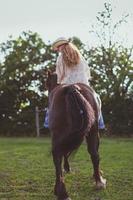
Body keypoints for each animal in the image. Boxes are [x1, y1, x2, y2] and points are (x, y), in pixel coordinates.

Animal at [45, 71, 106, 199]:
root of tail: (72, 88)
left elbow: (65, 153)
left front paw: (67, 168)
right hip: (92, 130)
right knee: (94, 154)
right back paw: (98, 181)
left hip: (59, 135)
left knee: (57, 157)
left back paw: (61, 192)